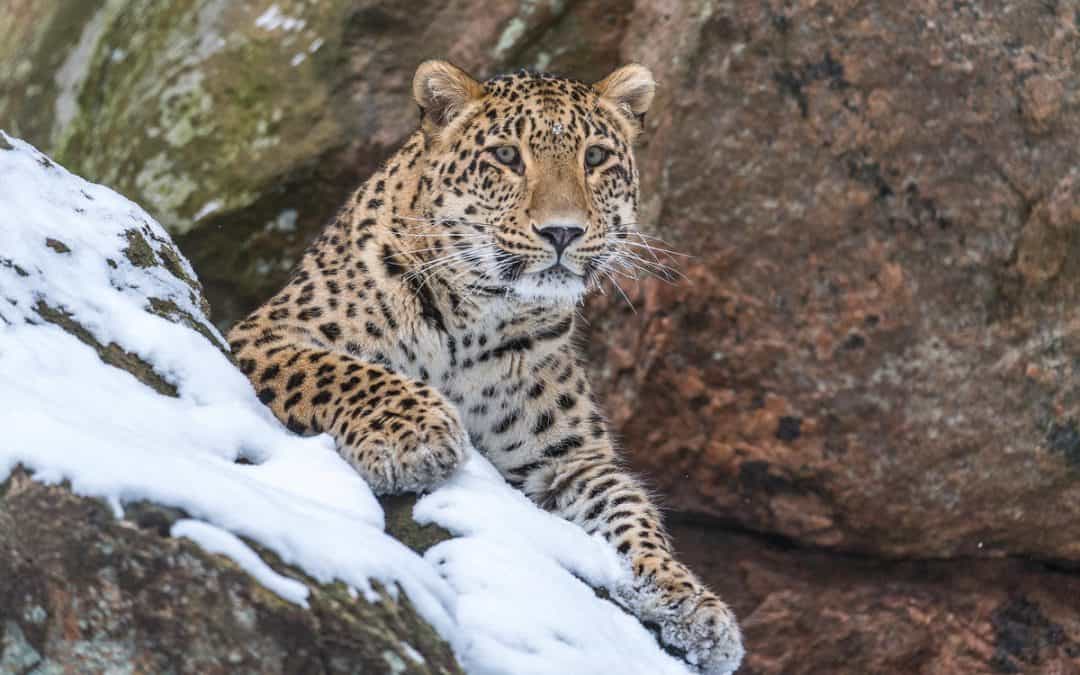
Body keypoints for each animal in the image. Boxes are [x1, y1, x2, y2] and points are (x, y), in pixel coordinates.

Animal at [227, 60, 744, 674]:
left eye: (595, 158)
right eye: (505, 157)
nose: (563, 231)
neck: (481, 317)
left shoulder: (565, 462)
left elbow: (630, 512)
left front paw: (691, 604)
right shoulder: (266, 336)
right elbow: (349, 372)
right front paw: (416, 437)